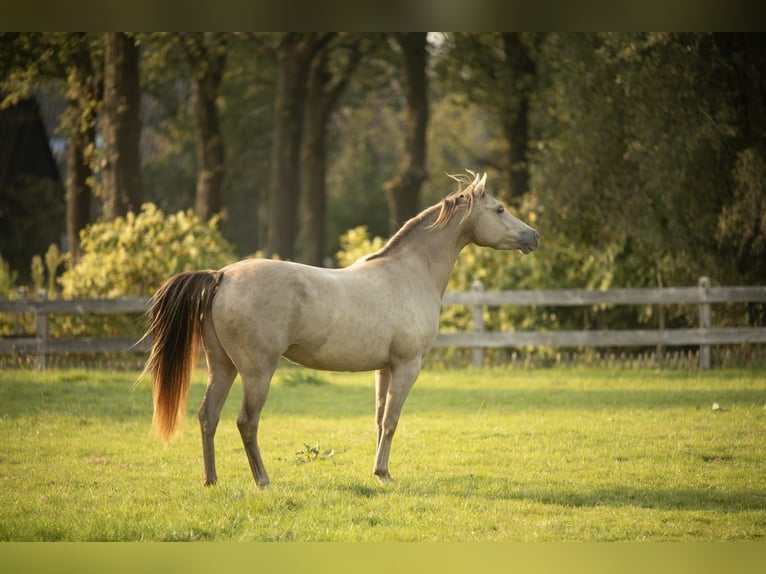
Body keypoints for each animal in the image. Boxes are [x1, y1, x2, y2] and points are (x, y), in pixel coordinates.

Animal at [144, 172, 540, 490]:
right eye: (500, 209)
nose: (534, 236)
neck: (409, 273)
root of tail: (222, 275)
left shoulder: (385, 368)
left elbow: (380, 420)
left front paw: (380, 472)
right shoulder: (407, 366)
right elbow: (392, 421)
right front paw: (384, 475)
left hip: (222, 367)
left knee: (207, 417)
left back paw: (210, 480)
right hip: (257, 372)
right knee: (246, 422)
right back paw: (263, 481)